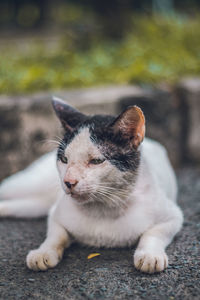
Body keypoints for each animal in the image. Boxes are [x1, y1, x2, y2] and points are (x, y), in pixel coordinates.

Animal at [0, 97, 183, 274]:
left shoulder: (174, 216)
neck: (102, 209)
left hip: (37, 203)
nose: (68, 181)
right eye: (64, 159)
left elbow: (153, 233)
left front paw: (149, 255)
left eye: (96, 161)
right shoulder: (55, 215)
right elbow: (55, 235)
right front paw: (44, 252)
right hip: (26, 186)